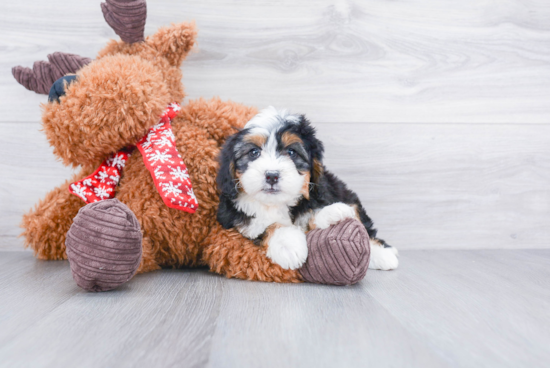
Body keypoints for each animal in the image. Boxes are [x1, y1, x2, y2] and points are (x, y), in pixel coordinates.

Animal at [217, 106, 402, 270]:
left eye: (292, 152)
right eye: (254, 152)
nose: (271, 175)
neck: (275, 204)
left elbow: (310, 214)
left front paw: (333, 212)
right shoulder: (238, 225)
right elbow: (267, 227)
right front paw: (288, 245)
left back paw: (382, 254)